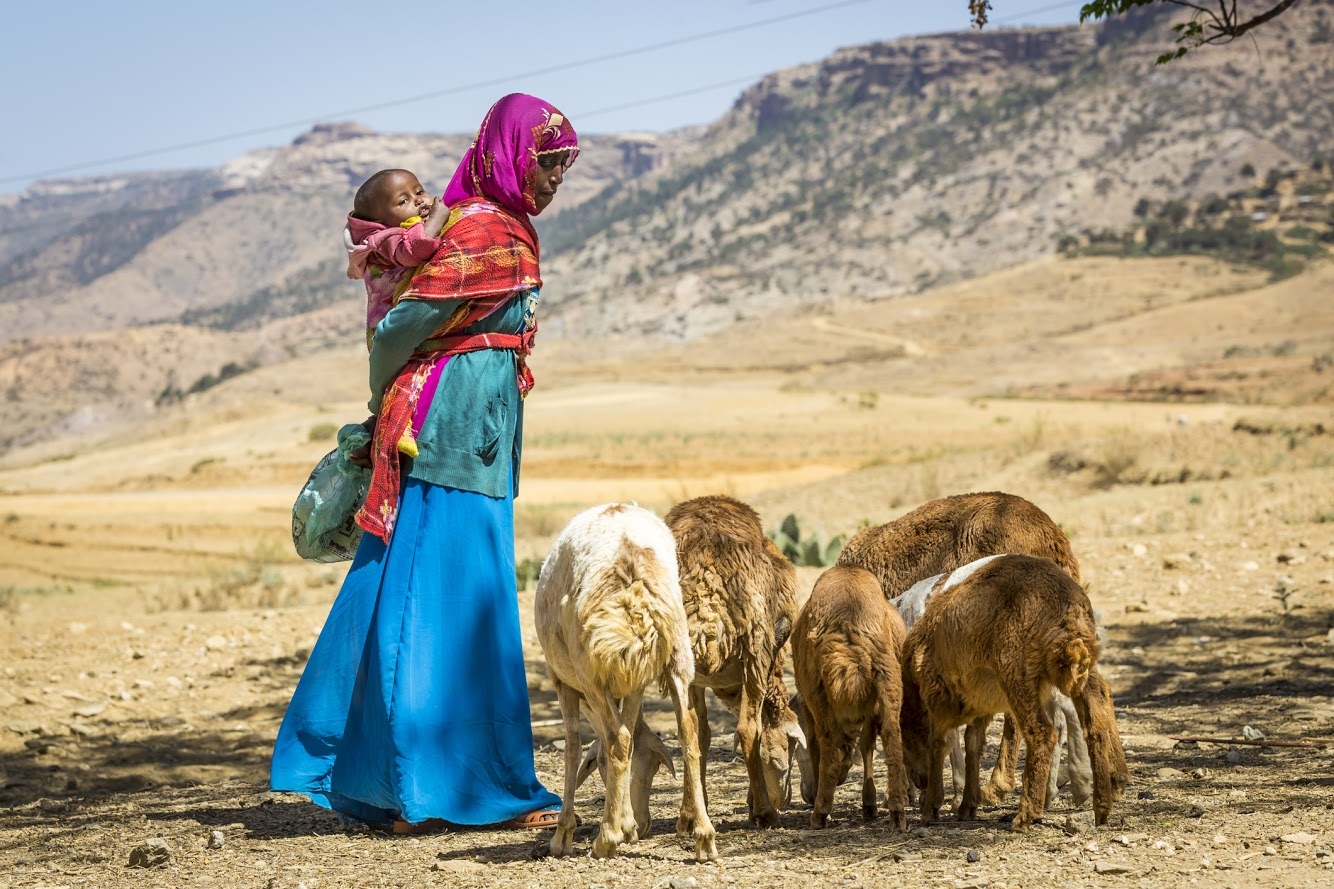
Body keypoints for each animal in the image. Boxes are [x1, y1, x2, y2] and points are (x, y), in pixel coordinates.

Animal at [534, 503, 718, 861]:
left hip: (589, 669)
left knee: (616, 739)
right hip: (678, 651)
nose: (642, 826)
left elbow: (575, 747)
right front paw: (628, 826)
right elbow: (632, 740)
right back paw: (704, 837)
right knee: (688, 732)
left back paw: (604, 839)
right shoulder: (635, 682)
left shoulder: (565, 684)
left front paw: (564, 835)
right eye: (656, 768)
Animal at [665, 495, 806, 828]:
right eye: (790, 750)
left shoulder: (698, 681)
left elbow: (701, 735)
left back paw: (688, 817)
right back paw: (766, 813)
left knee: (687, 732)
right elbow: (754, 731)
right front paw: (756, 804)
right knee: (748, 729)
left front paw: (697, 809)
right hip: (756, 649)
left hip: (679, 658)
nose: (786, 799)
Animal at [791, 565, 908, 830]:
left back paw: (819, 814)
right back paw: (897, 812)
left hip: (817, 690)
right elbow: (867, 745)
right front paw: (869, 805)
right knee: (892, 738)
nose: (808, 794)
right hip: (889, 678)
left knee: (828, 743)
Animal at [899, 554, 1127, 831]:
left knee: (1042, 733)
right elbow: (973, 744)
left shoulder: (936, 693)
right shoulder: (978, 701)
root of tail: (1067, 610)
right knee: (1096, 723)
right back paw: (1101, 807)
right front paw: (968, 806)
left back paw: (1025, 815)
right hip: (1084, 670)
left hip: (1018, 671)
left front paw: (932, 807)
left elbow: (939, 744)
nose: (919, 781)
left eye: (905, 742)